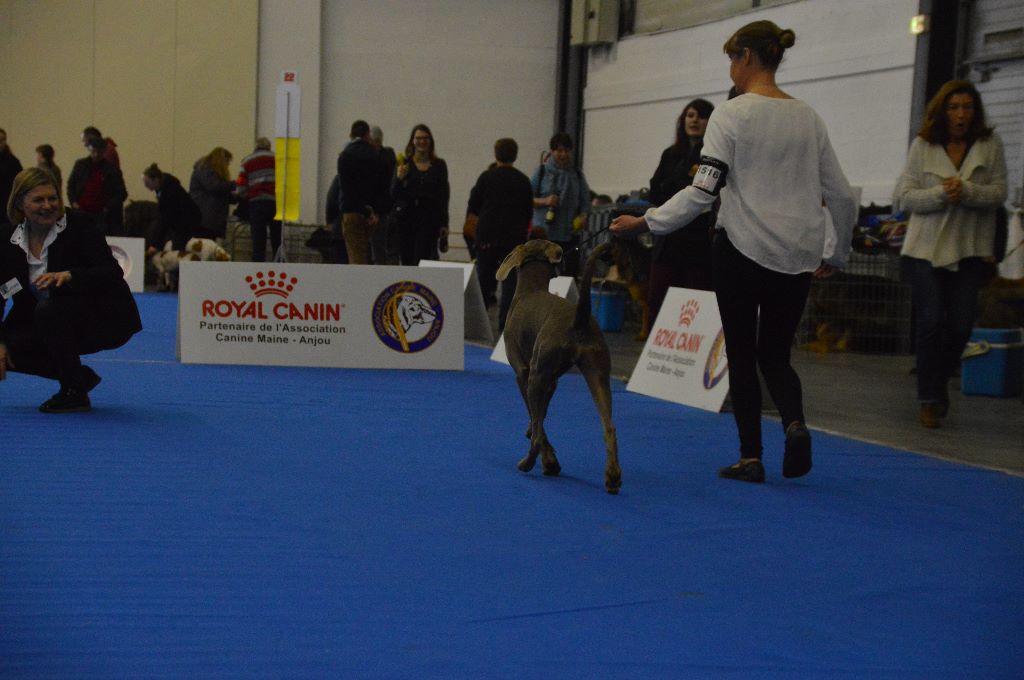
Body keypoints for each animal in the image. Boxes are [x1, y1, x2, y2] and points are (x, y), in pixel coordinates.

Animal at [497, 238, 622, 493]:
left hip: (537, 376)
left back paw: (528, 463)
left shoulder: (524, 374)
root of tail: (579, 320)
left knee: (538, 435)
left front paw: (549, 460)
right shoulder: (552, 380)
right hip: (598, 375)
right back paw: (613, 477)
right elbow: (541, 416)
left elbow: (537, 421)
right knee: (609, 427)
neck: (530, 289)